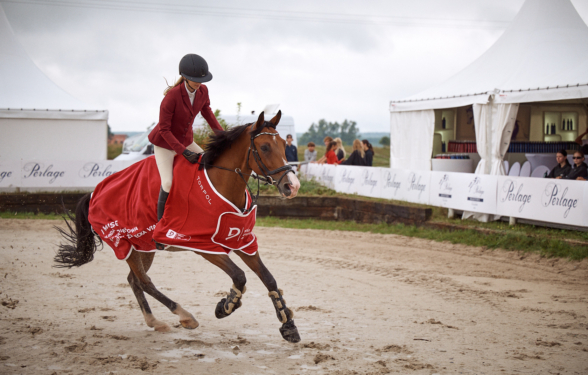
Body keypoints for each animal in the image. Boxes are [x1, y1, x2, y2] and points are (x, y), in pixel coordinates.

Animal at [54, 111, 304, 344]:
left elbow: (269, 278)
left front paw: (288, 326)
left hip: (143, 245)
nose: (292, 186)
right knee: (144, 281)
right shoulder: (201, 245)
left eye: (284, 145)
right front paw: (226, 306)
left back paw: (155, 321)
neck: (222, 185)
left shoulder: (241, 240)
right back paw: (184, 316)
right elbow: (239, 276)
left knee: (134, 280)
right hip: (123, 243)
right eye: (264, 147)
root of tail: (93, 193)